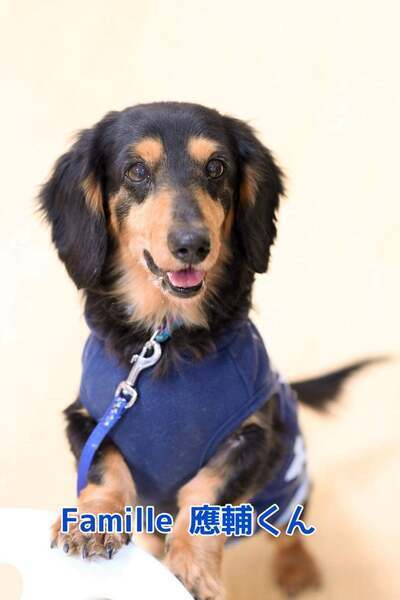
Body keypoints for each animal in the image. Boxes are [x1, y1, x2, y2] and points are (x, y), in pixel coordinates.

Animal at [40, 102, 368, 599]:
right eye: (135, 170)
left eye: (216, 167)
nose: (192, 245)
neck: (164, 339)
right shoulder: (88, 418)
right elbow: (104, 467)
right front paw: (93, 522)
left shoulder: (254, 439)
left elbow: (202, 494)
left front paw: (191, 570)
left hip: (288, 487)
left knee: (288, 532)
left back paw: (297, 570)